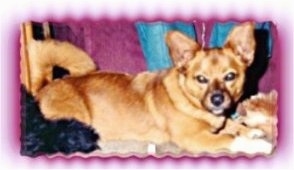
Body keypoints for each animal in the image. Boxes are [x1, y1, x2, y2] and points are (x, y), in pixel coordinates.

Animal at [29, 22, 274, 154]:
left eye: (230, 76)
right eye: (201, 79)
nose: (217, 99)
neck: (188, 100)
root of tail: (45, 85)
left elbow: (231, 125)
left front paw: (250, 129)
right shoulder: (194, 138)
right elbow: (231, 138)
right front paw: (259, 145)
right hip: (76, 117)